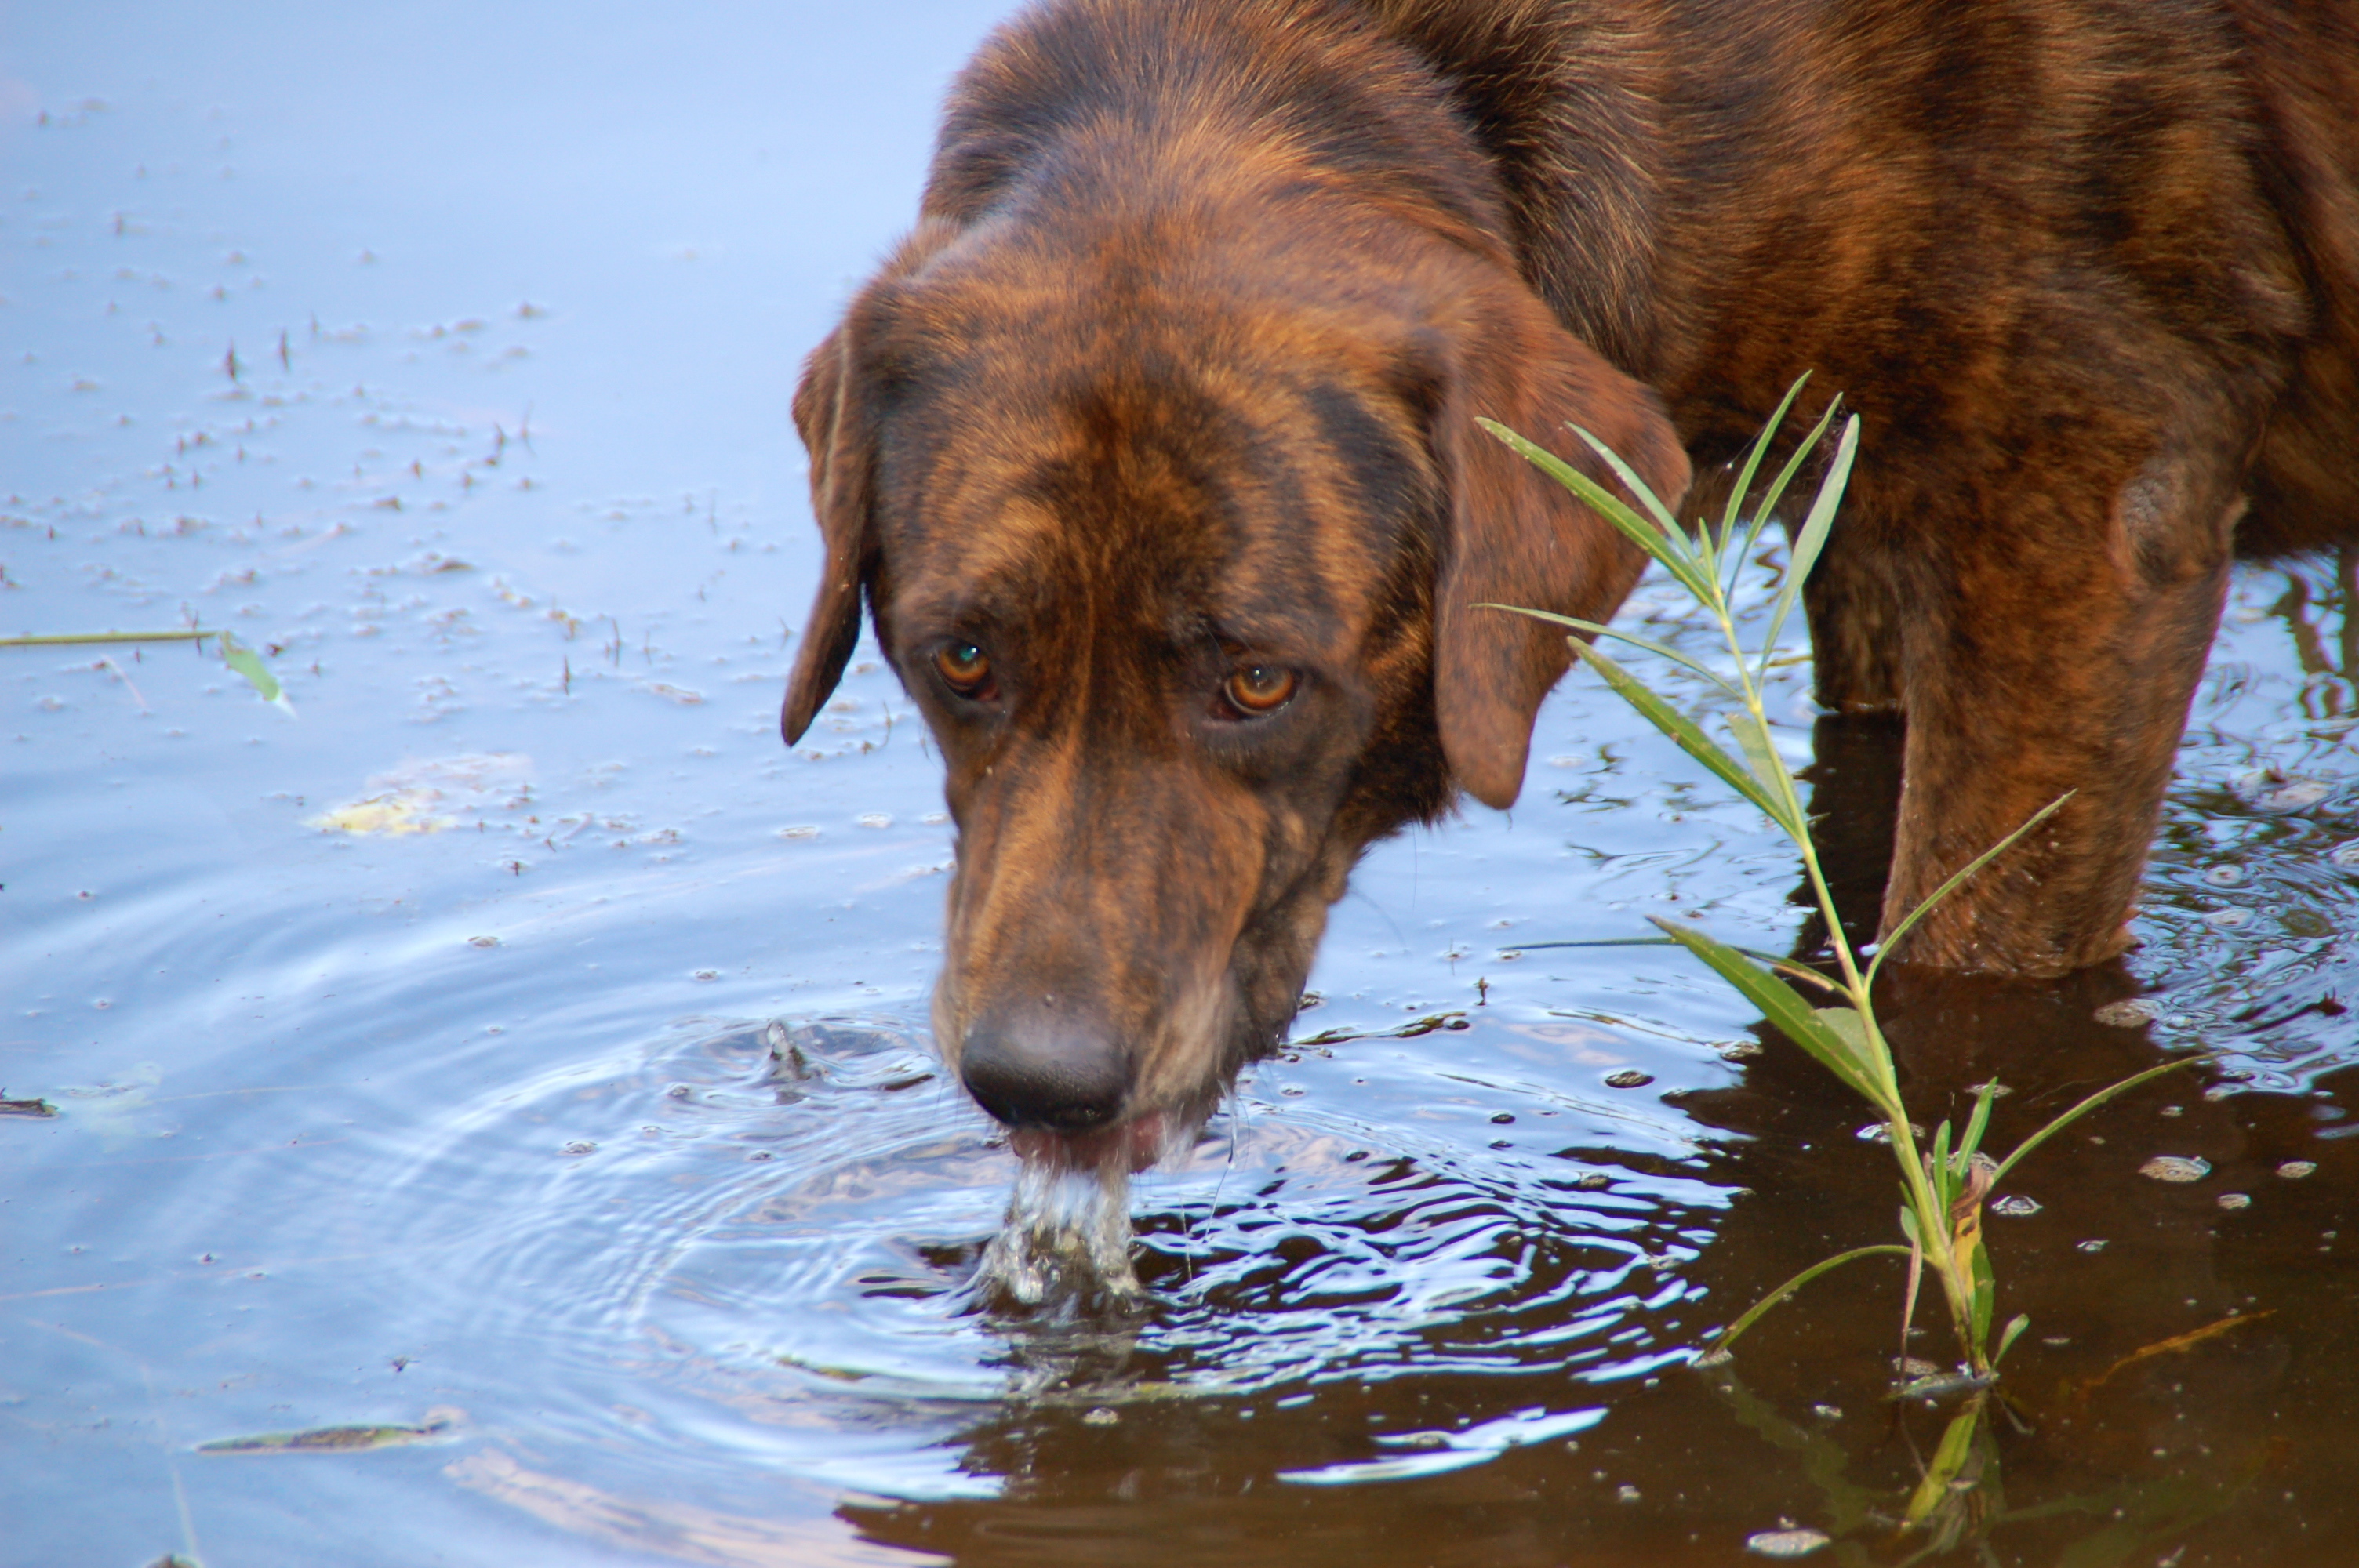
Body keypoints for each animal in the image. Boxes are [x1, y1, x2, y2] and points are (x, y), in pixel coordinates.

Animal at [781, 0, 2359, 1157]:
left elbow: (1944, 970)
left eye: (1257, 683)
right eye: (960, 659)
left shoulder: (2080, 519)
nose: (1038, 1088)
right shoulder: (1862, 517)